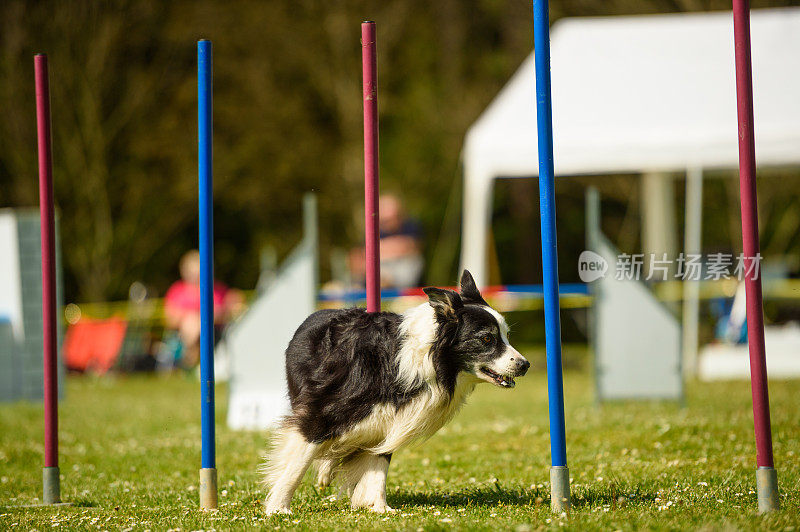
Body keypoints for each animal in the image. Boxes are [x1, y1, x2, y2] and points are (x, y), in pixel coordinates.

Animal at [264, 272, 532, 512]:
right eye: (486, 339)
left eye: (506, 336)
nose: (525, 365)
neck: (423, 361)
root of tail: (316, 314)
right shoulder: (319, 412)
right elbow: (297, 462)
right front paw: (278, 509)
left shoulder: (390, 420)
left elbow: (379, 465)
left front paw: (379, 508)